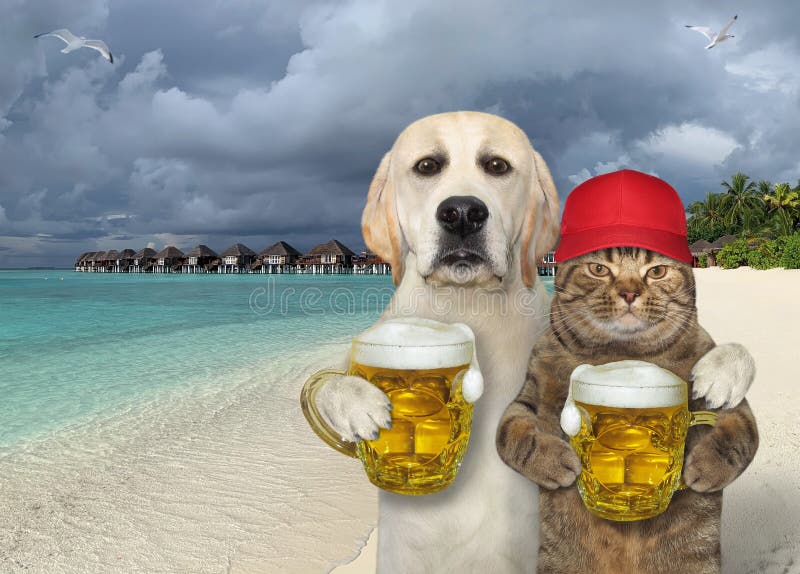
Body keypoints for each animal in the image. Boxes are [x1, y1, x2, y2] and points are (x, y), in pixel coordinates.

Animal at [496, 248, 760, 574]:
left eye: (657, 271)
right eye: (598, 269)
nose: (630, 292)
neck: (624, 353)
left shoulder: (731, 407)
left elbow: (741, 433)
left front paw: (706, 466)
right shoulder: (526, 398)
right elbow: (512, 436)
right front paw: (556, 461)